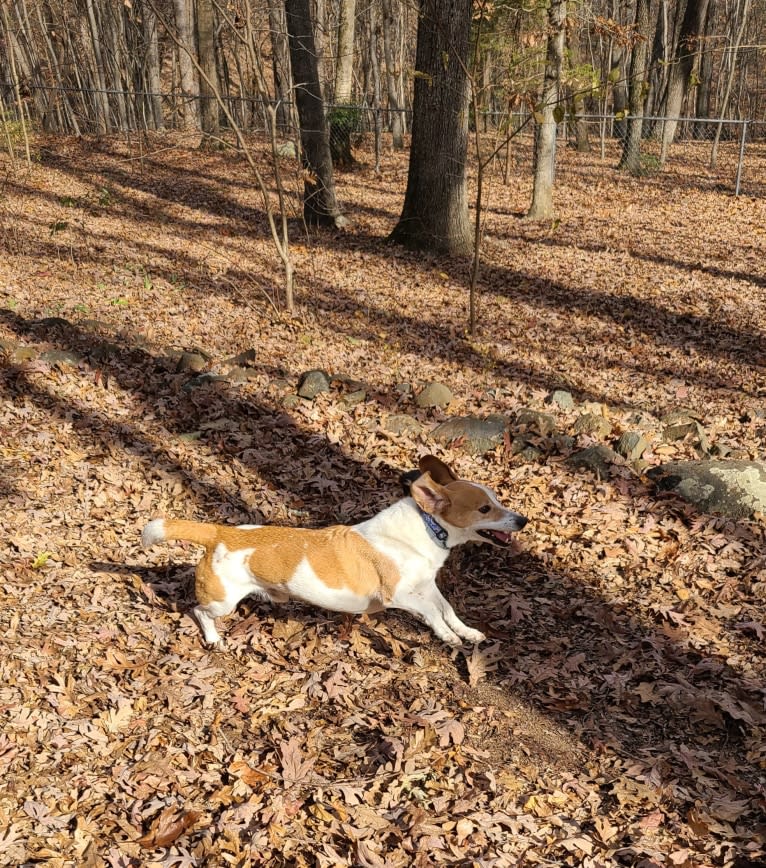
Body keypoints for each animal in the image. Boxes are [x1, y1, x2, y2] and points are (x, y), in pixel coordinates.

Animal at [142, 458, 528, 648]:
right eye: (484, 509)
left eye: (496, 499)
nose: (523, 520)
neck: (427, 527)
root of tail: (220, 532)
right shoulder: (399, 596)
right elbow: (433, 614)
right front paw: (448, 637)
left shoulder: (426, 585)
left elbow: (446, 608)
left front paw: (466, 632)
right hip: (223, 602)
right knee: (198, 611)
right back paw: (213, 639)